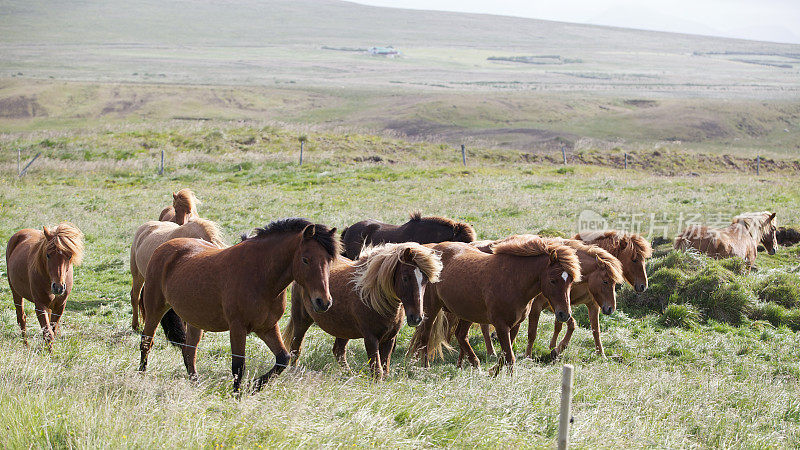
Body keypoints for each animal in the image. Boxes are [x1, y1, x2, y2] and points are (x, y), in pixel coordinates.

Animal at [138, 217, 338, 390]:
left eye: (329, 260)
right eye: (306, 259)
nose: (323, 302)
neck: (259, 275)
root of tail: (163, 247)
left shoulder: (267, 327)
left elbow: (283, 358)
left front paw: (255, 386)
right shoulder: (238, 328)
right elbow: (239, 365)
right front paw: (237, 395)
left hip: (195, 320)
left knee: (189, 351)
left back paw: (195, 384)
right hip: (155, 309)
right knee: (146, 342)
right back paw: (141, 375)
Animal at [282, 243, 444, 380]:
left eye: (425, 280)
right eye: (405, 277)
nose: (416, 318)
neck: (374, 297)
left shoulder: (389, 339)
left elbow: (385, 369)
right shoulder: (371, 338)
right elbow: (377, 371)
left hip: (343, 329)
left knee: (338, 351)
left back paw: (349, 375)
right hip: (302, 320)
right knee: (296, 348)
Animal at [410, 236, 580, 372]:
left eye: (571, 281)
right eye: (553, 280)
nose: (564, 314)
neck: (513, 279)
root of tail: (435, 250)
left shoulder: (514, 325)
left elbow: (505, 355)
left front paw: (493, 372)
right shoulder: (501, 325)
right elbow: (510, 358)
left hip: (467, 313)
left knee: (461, 336)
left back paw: (473, 364)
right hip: (432, 309)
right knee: (425, 337)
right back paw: (425, 368)